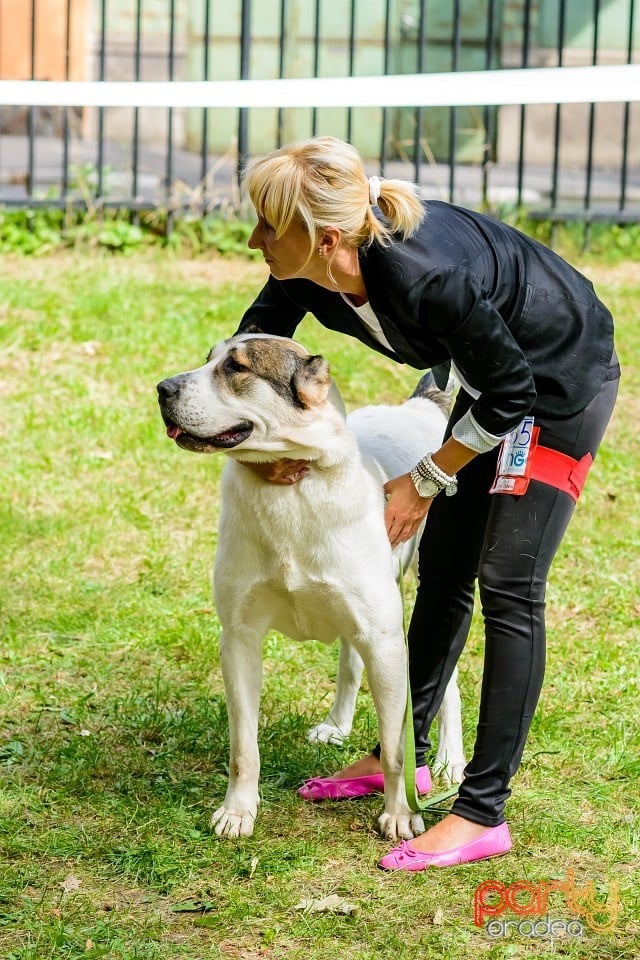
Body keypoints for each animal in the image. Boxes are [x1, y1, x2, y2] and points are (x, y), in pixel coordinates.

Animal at [156, 336, 464, 840]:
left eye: (236, 368)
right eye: (207, 359)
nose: (162, 389)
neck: (289, 487)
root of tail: (419, 406)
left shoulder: (386, 643)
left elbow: (395, 750)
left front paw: (401, 813)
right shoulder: (238, 638)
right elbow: (243, 746)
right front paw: (238, 811)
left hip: (429, 590)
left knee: (448, 680)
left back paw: (450, 759)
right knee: (350, 662)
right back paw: (336, 726)